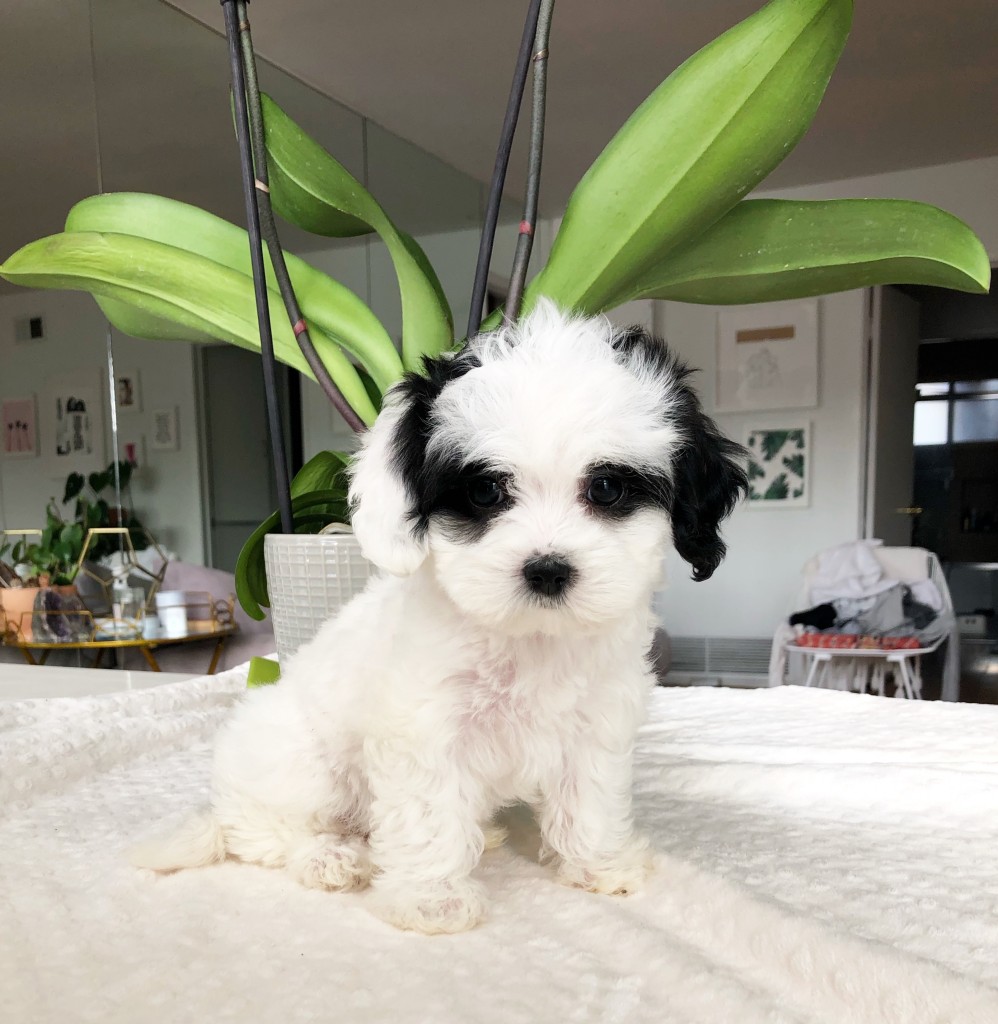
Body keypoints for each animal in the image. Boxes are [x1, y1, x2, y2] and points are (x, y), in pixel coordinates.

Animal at [130, 299, 741, 933]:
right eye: (485, 492)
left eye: (606, 488)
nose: (547, 570)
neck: (529, 637)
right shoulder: (423, 728)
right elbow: (427, 815)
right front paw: (432, 898)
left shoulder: (595, 721)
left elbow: (588, 796)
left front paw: (598, 864)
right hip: (301, 765)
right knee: (267, 832)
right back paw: (330, 857)